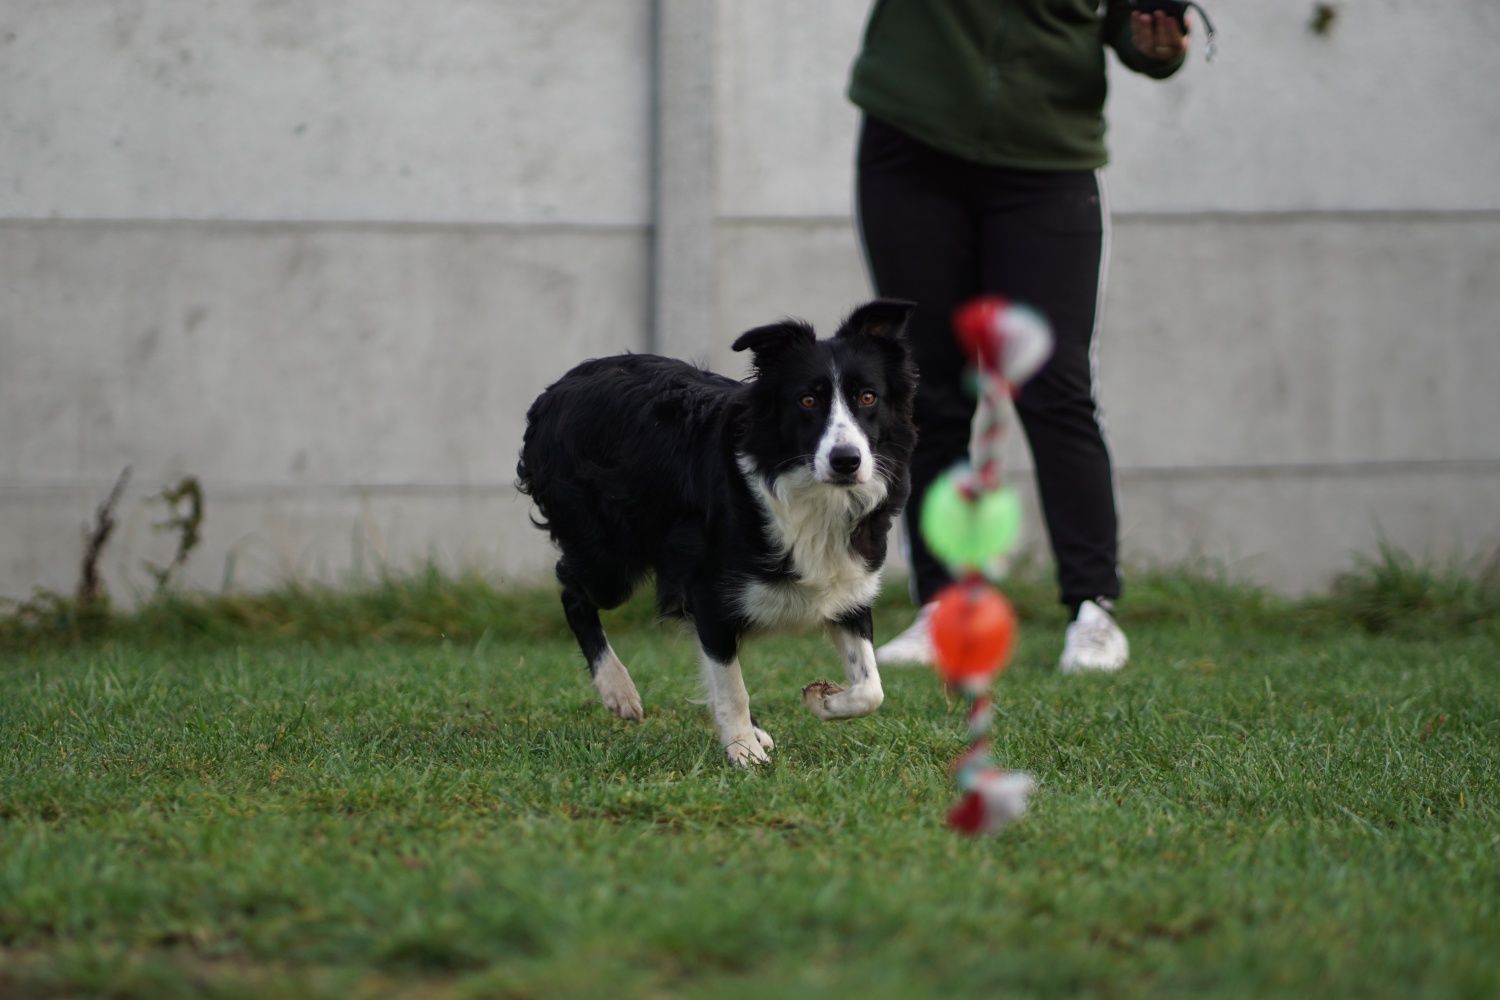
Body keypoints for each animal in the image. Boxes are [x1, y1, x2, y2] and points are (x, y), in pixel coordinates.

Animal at [516, 296, 912, 767]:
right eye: (808, 400)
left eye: (868, 397)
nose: (846, 461)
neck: (809, 492)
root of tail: (557, 388)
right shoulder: (708, 592)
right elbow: (731, 685)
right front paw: (743, 751)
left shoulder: (847, 587)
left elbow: (872, 689)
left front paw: (821, 699)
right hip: (608, 558)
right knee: (572, 590)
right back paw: (618, 689)